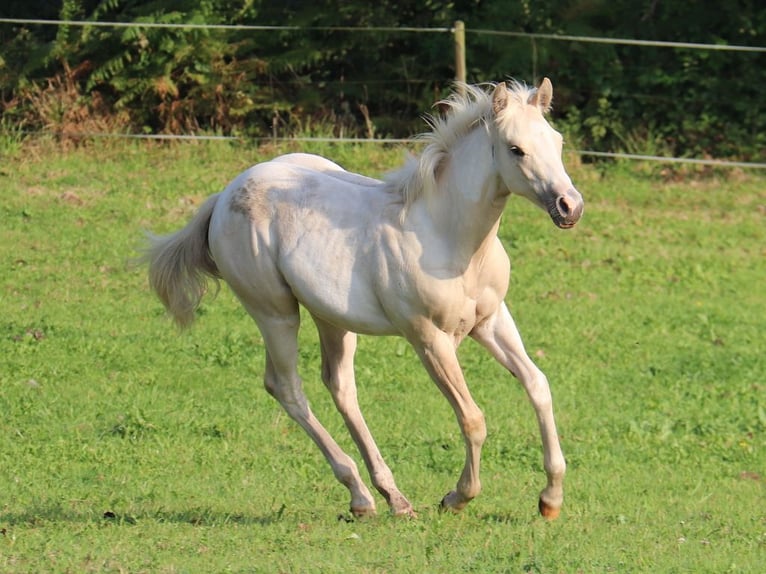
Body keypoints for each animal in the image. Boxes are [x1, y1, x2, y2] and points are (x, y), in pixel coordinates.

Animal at [144, 79, 584, 520]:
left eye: (557, 141)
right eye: (516, 149)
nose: (570, 206)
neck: (449, 236)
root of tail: (223, 196)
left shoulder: (490, 321)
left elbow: (538, 386)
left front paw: (550, 500)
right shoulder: (429, 339)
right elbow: (473, 419)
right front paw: (457, 497)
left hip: (331, 317)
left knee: (340, 386)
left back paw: (390, 496)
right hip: (274, 313)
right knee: (286, 387)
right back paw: (361, 493)